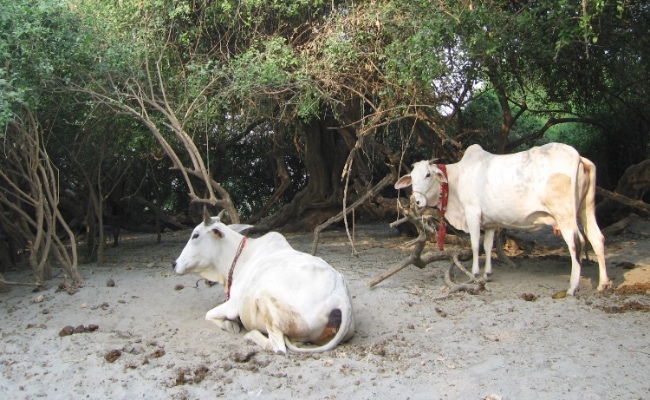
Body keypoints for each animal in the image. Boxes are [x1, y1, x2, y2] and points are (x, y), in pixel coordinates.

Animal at [172, 210, 355, 354]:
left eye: (195, 235)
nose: (175, 264)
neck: (241, 258)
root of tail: (340, 295)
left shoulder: (233, 305)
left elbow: (209, 315)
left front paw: (229, 325)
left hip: (265, 299)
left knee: (278, 347)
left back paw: (251, 335)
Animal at [394, 143, 612, 295]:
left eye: (428, 174)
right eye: (412, 177)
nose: (416, 201)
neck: (457, 180)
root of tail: (578, 156)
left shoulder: (472, 213)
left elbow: (475, 244)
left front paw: (475, 273)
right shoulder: (491, 222)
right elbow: (488, 245)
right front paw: (487, 273)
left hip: (565, 214)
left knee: (576, 243)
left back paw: (573, 287)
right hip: (585, 209)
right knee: (597, 239)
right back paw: (603, 283)